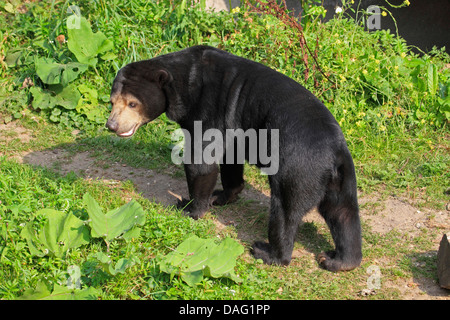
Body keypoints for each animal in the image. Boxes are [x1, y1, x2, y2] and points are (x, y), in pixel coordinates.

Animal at [107, 44, 364, 270]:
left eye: (132, 103)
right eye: (112, 102)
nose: (112, 125)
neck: (183, 82)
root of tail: (334, 152)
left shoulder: (207, 108)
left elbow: (201, 160)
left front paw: (188, 207)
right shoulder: (233, 123)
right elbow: (230, 157)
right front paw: (221, 196)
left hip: (298, 167)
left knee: (284, 211)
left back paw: (268, 252)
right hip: (341, 180)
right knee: (343, 213)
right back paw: (339, 261)